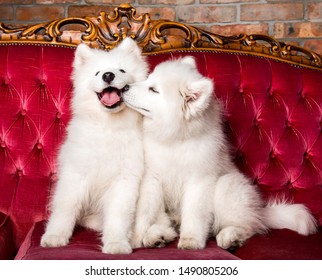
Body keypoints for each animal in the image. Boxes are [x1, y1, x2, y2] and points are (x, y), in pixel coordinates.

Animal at [39, 37, 148, 254]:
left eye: (121, 70)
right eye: (97, 73)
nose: (108, 75)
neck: (108, 126)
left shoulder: (124, 179)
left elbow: (118, 215)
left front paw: (116, 243)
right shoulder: (75, 174)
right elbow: (65, 208)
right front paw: (55, 236)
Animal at [123, 56, 316, 249]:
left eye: (154, 89)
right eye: (148, 78)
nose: (124, 87)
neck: (176, 139)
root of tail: (260, 211)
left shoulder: (199, 180)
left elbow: (193, 213)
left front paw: (190, 241)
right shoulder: (152, 177)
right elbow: (144, 210)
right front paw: (135, 238)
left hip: (228, 185)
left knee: (248, 227)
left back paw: (230, 237)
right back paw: (157, 236)